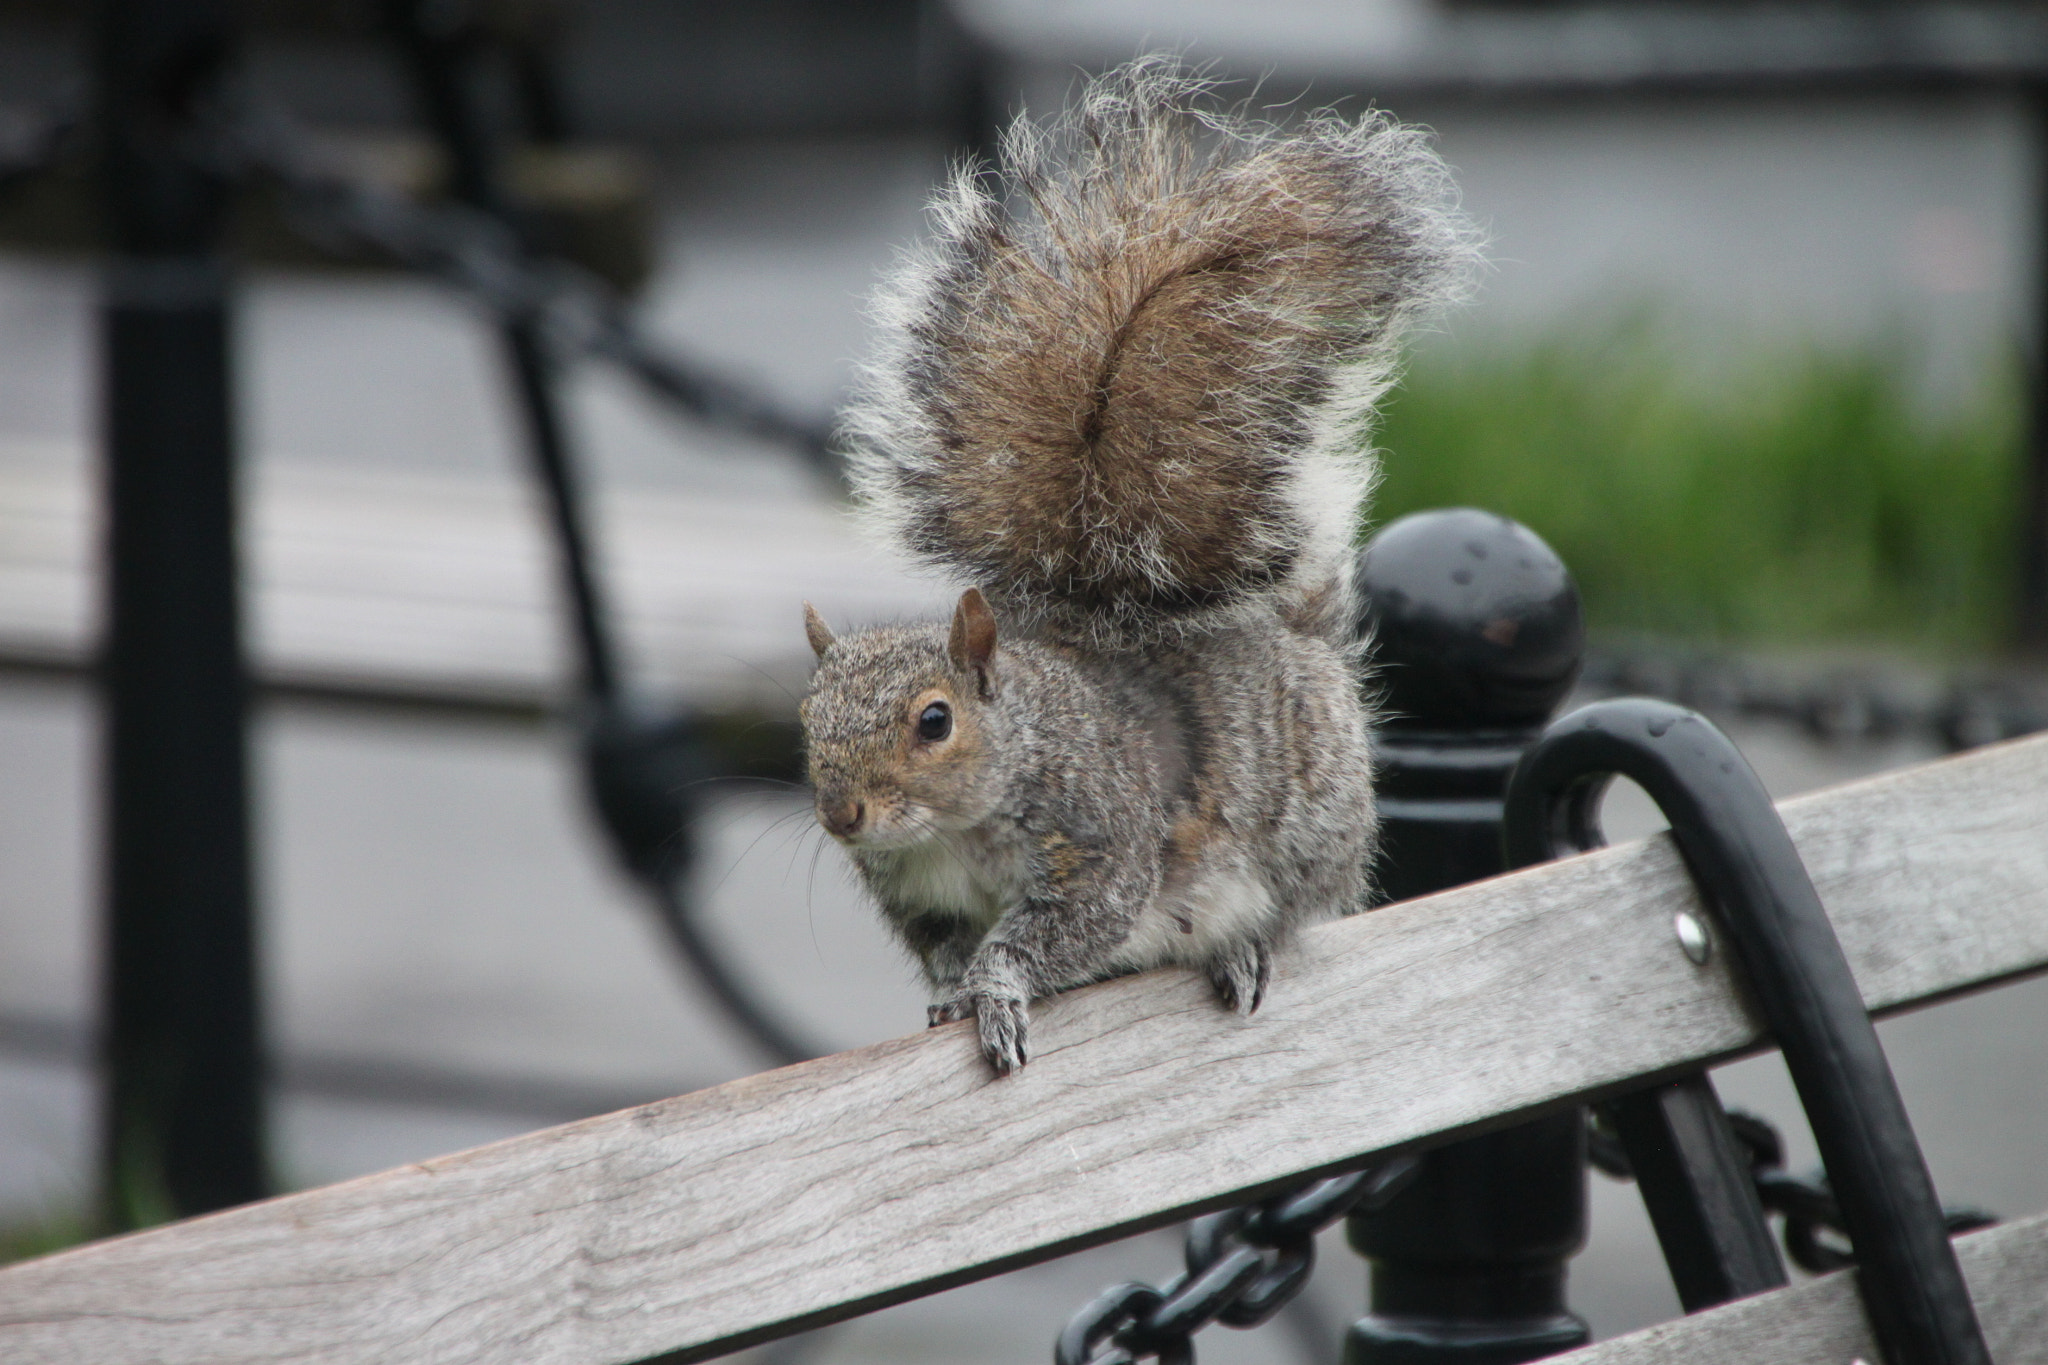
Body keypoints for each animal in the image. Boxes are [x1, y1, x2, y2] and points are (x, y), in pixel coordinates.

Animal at [799, 58, 1478, 1075]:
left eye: (935, 720)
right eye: (806, 716)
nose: (843, 814)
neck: (957, 825)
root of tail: (1301, 642)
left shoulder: (1103, 846)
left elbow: (1055, 933)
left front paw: (998, 994)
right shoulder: (920, 902)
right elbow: (951, 949)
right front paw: (954, 995)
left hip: (1307, 831)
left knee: (1302, 907)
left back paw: (1243, 946)